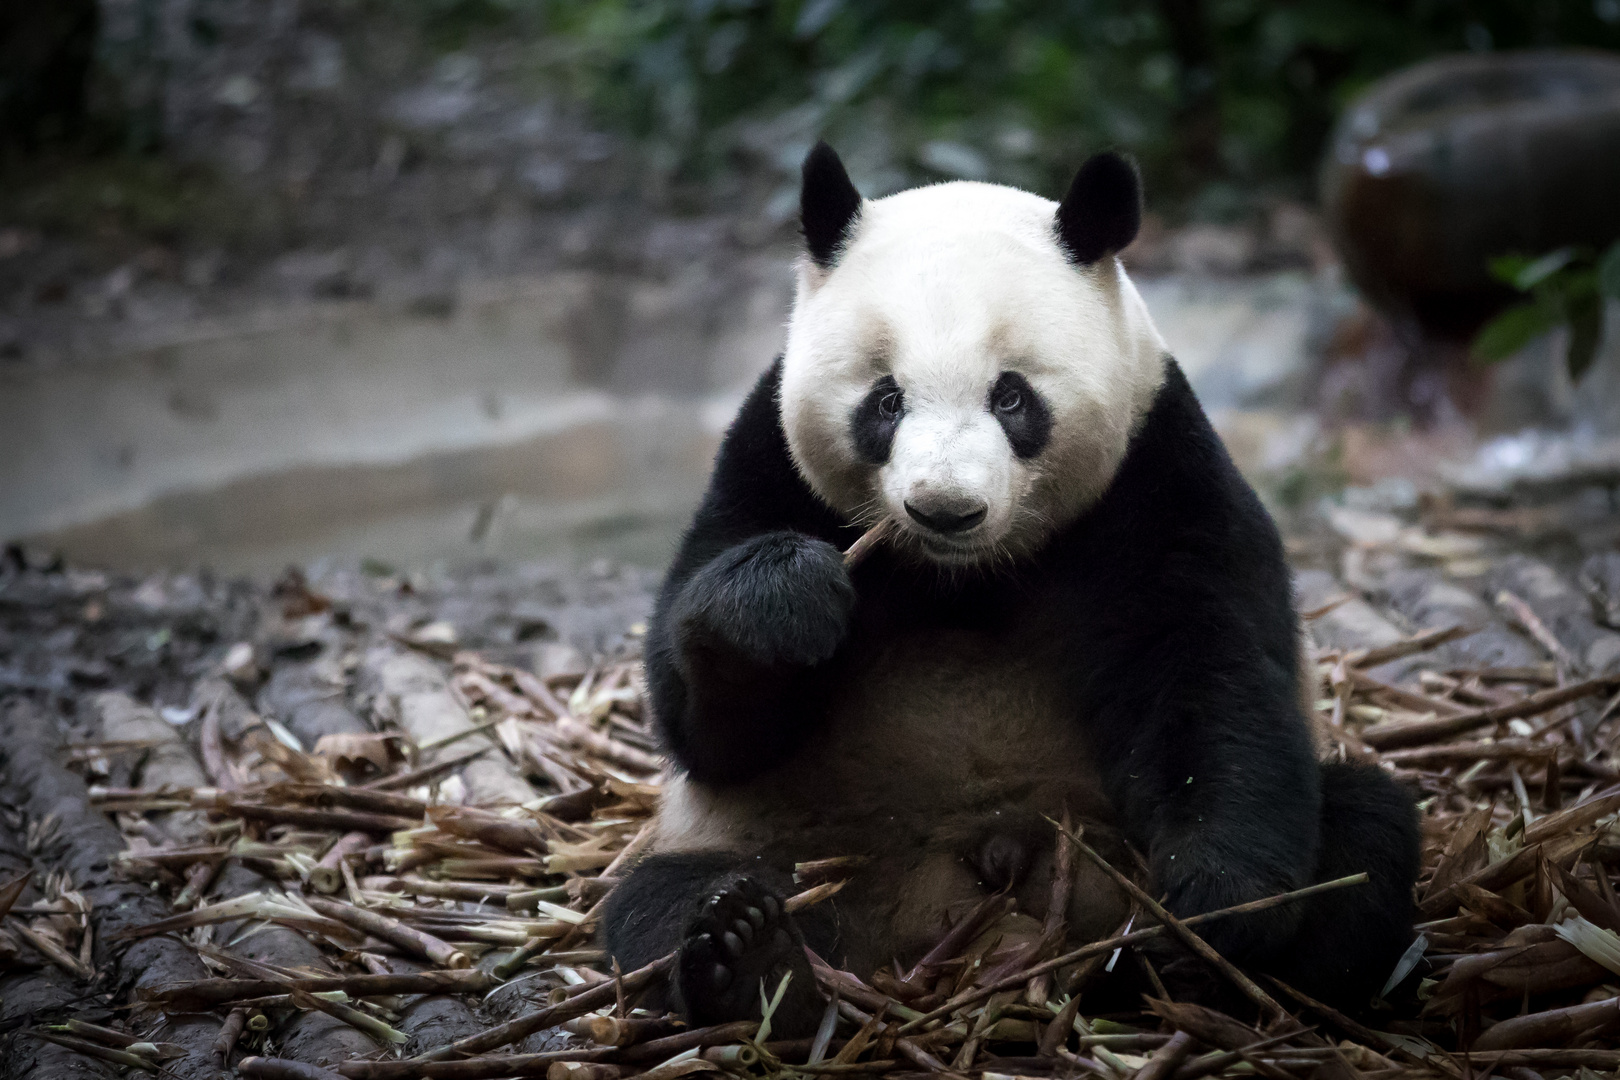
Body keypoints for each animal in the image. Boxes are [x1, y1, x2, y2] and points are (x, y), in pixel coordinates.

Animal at [605, 143, 1419, 1036]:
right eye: (885, 401)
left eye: (1011, 395)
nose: (944, 508)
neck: (964, 573)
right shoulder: (767, 463)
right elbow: (706, 723)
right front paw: (783, 604)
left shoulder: (1157, 469)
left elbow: (1211, 669)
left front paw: (1218, 904)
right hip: (803, 845)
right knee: (661, 901)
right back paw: (750, 958)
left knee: (1364, 840)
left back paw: (1201, 974)